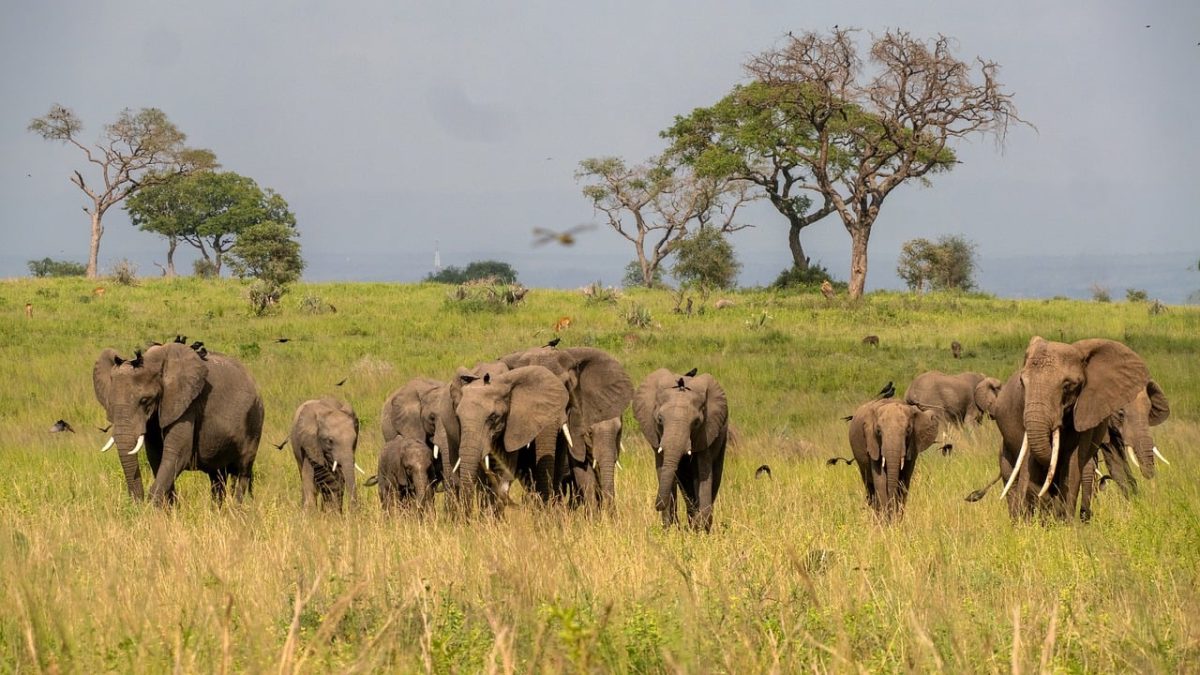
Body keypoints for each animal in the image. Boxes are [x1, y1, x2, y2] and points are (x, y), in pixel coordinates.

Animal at [92, 342, 263, 505]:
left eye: (145, 400)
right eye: (109, 403)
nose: (136, 502)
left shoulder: (186, 404)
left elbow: (177, 452)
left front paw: (151, 509)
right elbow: (156, 456)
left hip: (254, 422)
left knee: (242, 471)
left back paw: (236, 510)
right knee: (217, 477)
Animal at [634, 369, 728, 531]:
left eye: (696, 423)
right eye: (660, 420)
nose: (657, 505)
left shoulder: (706, 431)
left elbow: (704, 473)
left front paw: (700, 529)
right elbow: (663, 470)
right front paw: (669, 529)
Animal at [973, 337, 1150, 521]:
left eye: (1067, 386)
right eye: (1022, 383)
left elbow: (1073, 461)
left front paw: (1066, 523)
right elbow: (1031, 463)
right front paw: (1037, 521)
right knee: (1012, 478)